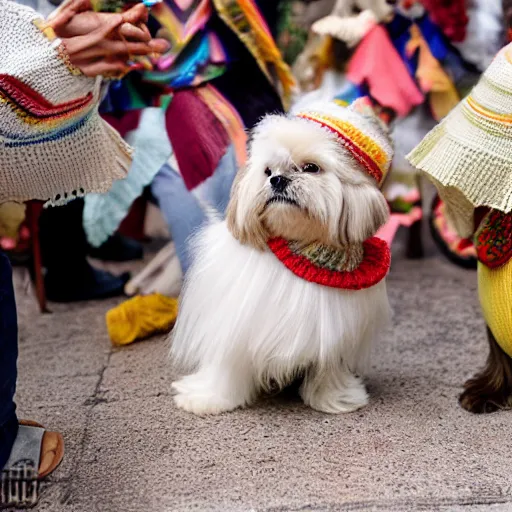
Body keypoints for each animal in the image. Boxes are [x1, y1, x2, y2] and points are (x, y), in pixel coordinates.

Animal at [171, 99, 392, 416]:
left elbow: (327, 370)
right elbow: (228, 367)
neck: (298, 252)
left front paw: (335, 399)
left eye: (311, 168)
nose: (278, 180)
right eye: (268, 171)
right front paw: (210, 399)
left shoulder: (332, 336)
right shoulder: (236, 327)